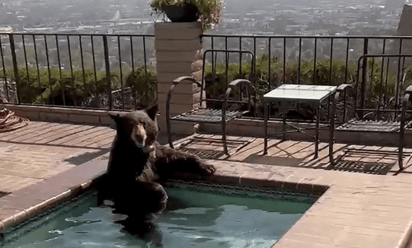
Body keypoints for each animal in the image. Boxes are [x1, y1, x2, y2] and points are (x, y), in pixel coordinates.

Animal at [100, 104, 216, 242]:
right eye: (129, 125)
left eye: (144, 123)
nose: (139, 136)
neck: (141, 151)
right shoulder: (125, 163)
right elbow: (132, 182)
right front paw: (161, 192)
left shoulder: (156, 155)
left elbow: (175, 157)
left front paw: (208, 167)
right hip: (129, 206)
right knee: (138, 223)